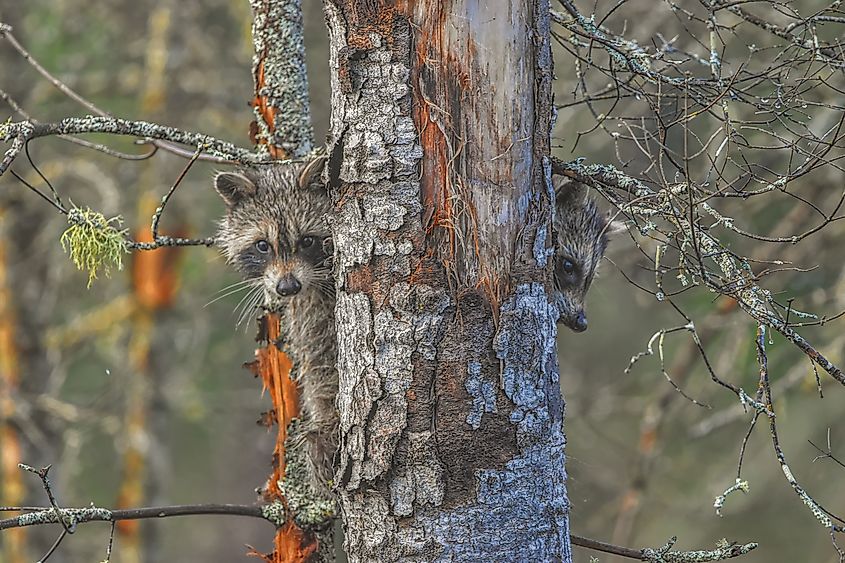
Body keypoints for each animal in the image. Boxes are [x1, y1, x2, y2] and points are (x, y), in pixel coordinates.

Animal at [214, 157, 338, 496]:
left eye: (307, 240)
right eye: (262, 246)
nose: (287, 287)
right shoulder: (309, 306)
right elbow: (319, 359)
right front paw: (325, 422)